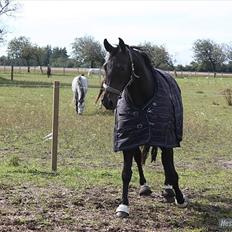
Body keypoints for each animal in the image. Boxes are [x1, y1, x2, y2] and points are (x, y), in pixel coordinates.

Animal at [101, 38, 188, 218]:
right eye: (105, 66)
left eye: (121, 67)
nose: (107, 101)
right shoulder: (128, 139)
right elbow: (126, 173)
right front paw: (123, 206)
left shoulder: (167, 140)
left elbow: (170, 168)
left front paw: (180, 198)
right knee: (138, 159)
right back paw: (144, 185)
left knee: (165, 162)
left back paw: (168, 189)